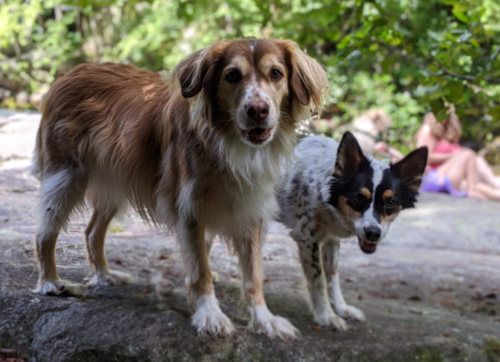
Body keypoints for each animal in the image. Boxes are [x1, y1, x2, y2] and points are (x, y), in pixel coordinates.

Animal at [278, 134, 426, 330]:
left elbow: (332, 277)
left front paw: (341, 309)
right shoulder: (307, 240)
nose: (373, 233)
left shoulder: (331, 240)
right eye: (358, 198)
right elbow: (318, 282)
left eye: (391, 202)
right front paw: (326, 316)